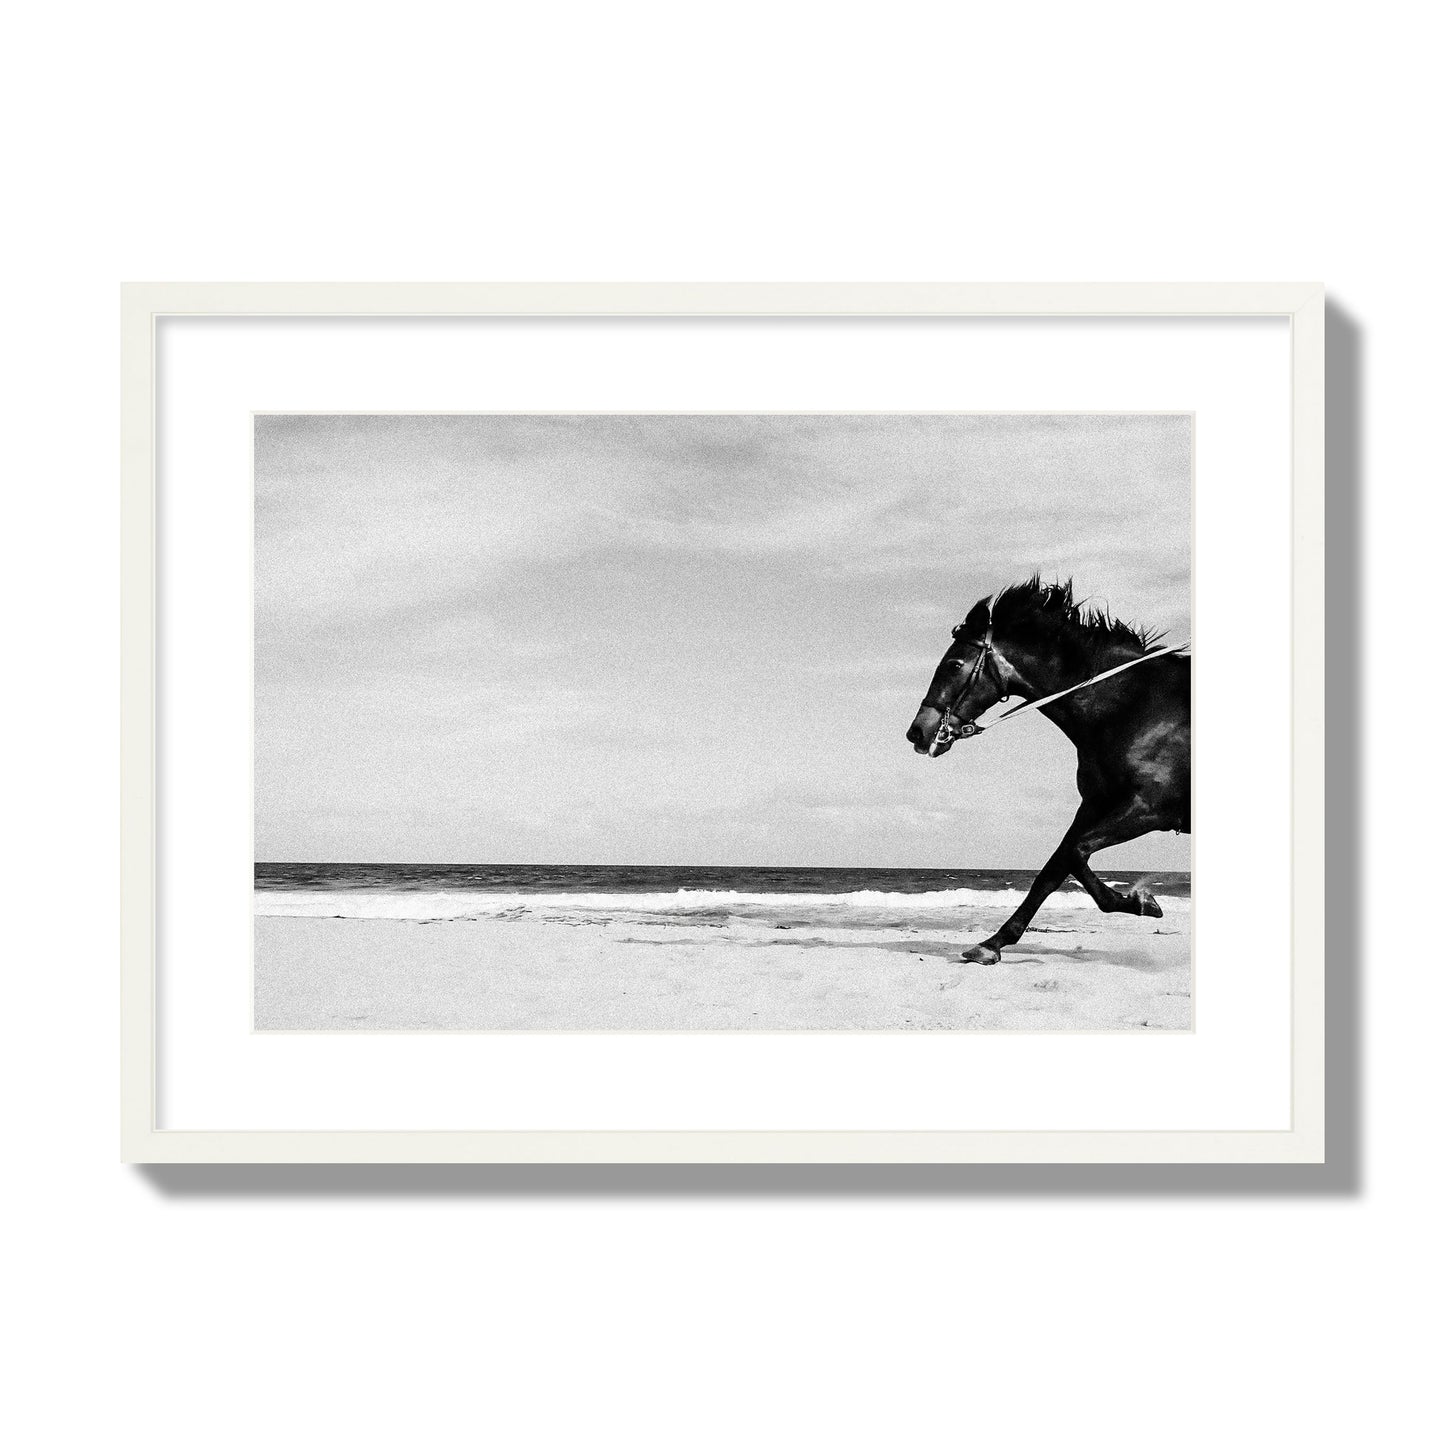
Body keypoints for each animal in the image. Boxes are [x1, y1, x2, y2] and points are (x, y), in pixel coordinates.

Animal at [905, 577, 1190, 964]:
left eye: (954, 664)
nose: (918, 732)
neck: (1133, 706)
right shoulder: (1096, 805)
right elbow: (1055, 867)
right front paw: (992, 942)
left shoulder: (1149, 808)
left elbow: (1074, 854)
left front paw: (1141, 901)